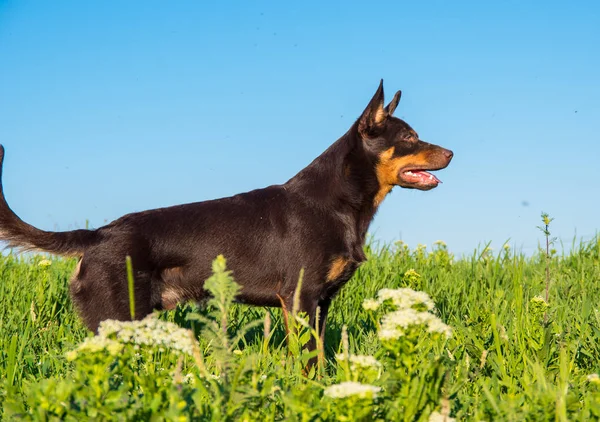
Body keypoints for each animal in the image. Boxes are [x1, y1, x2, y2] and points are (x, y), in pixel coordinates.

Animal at [0, 81, 450, 352]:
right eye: (409, 137)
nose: (450, 153)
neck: (339, 203)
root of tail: (97, 236)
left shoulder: (321, 304)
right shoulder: (301, 299)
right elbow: (307, 361)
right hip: (117, 316)